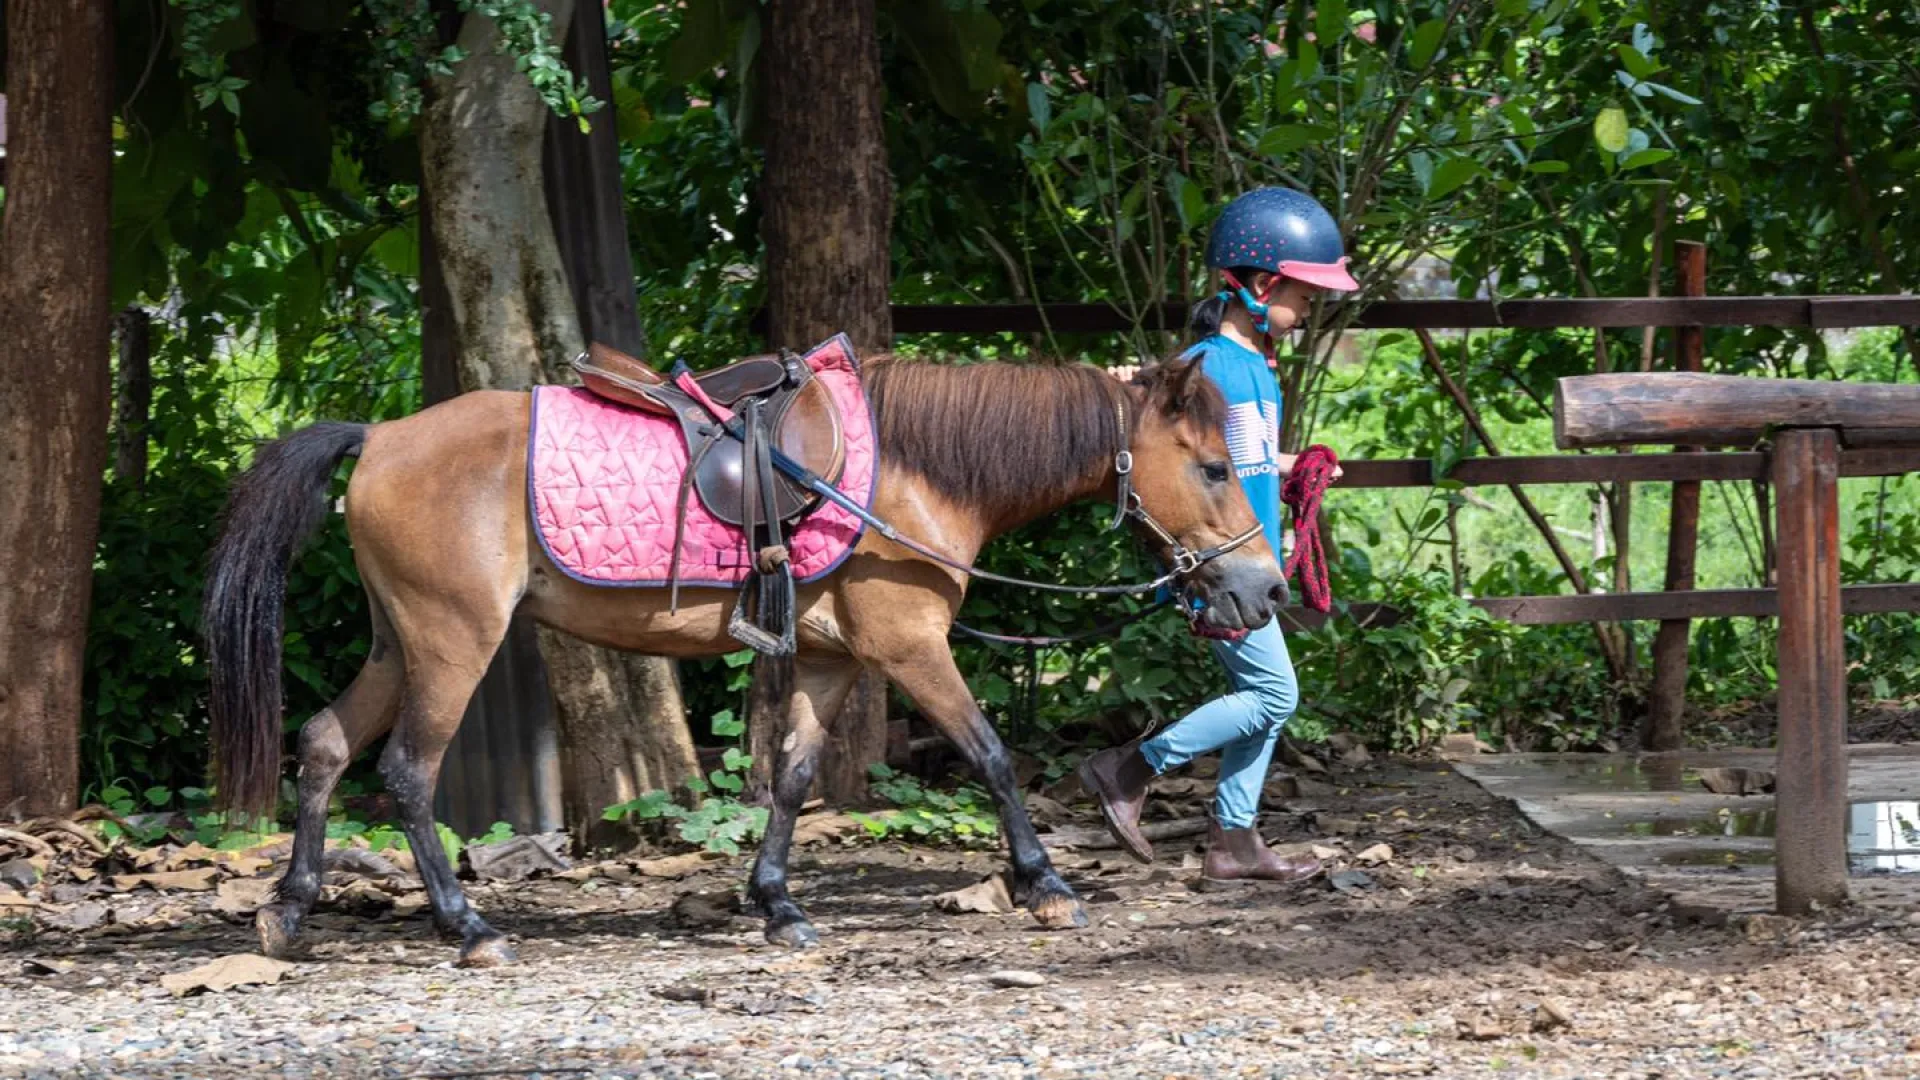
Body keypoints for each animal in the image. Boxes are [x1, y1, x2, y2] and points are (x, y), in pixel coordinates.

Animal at [202, 352, 1286, 966]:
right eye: (1213, 466)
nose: (1266, 590)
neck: (912, 472)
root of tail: (380, 436)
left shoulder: (833, 661)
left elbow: (795, 778)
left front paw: (776, 906)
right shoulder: (910, 646)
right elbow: (989, 754)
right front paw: (1044, 885)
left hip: (400, 642)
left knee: (326, 742)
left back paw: (290, 911)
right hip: (450, 643)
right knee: (407, 771)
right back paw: (469, 928)